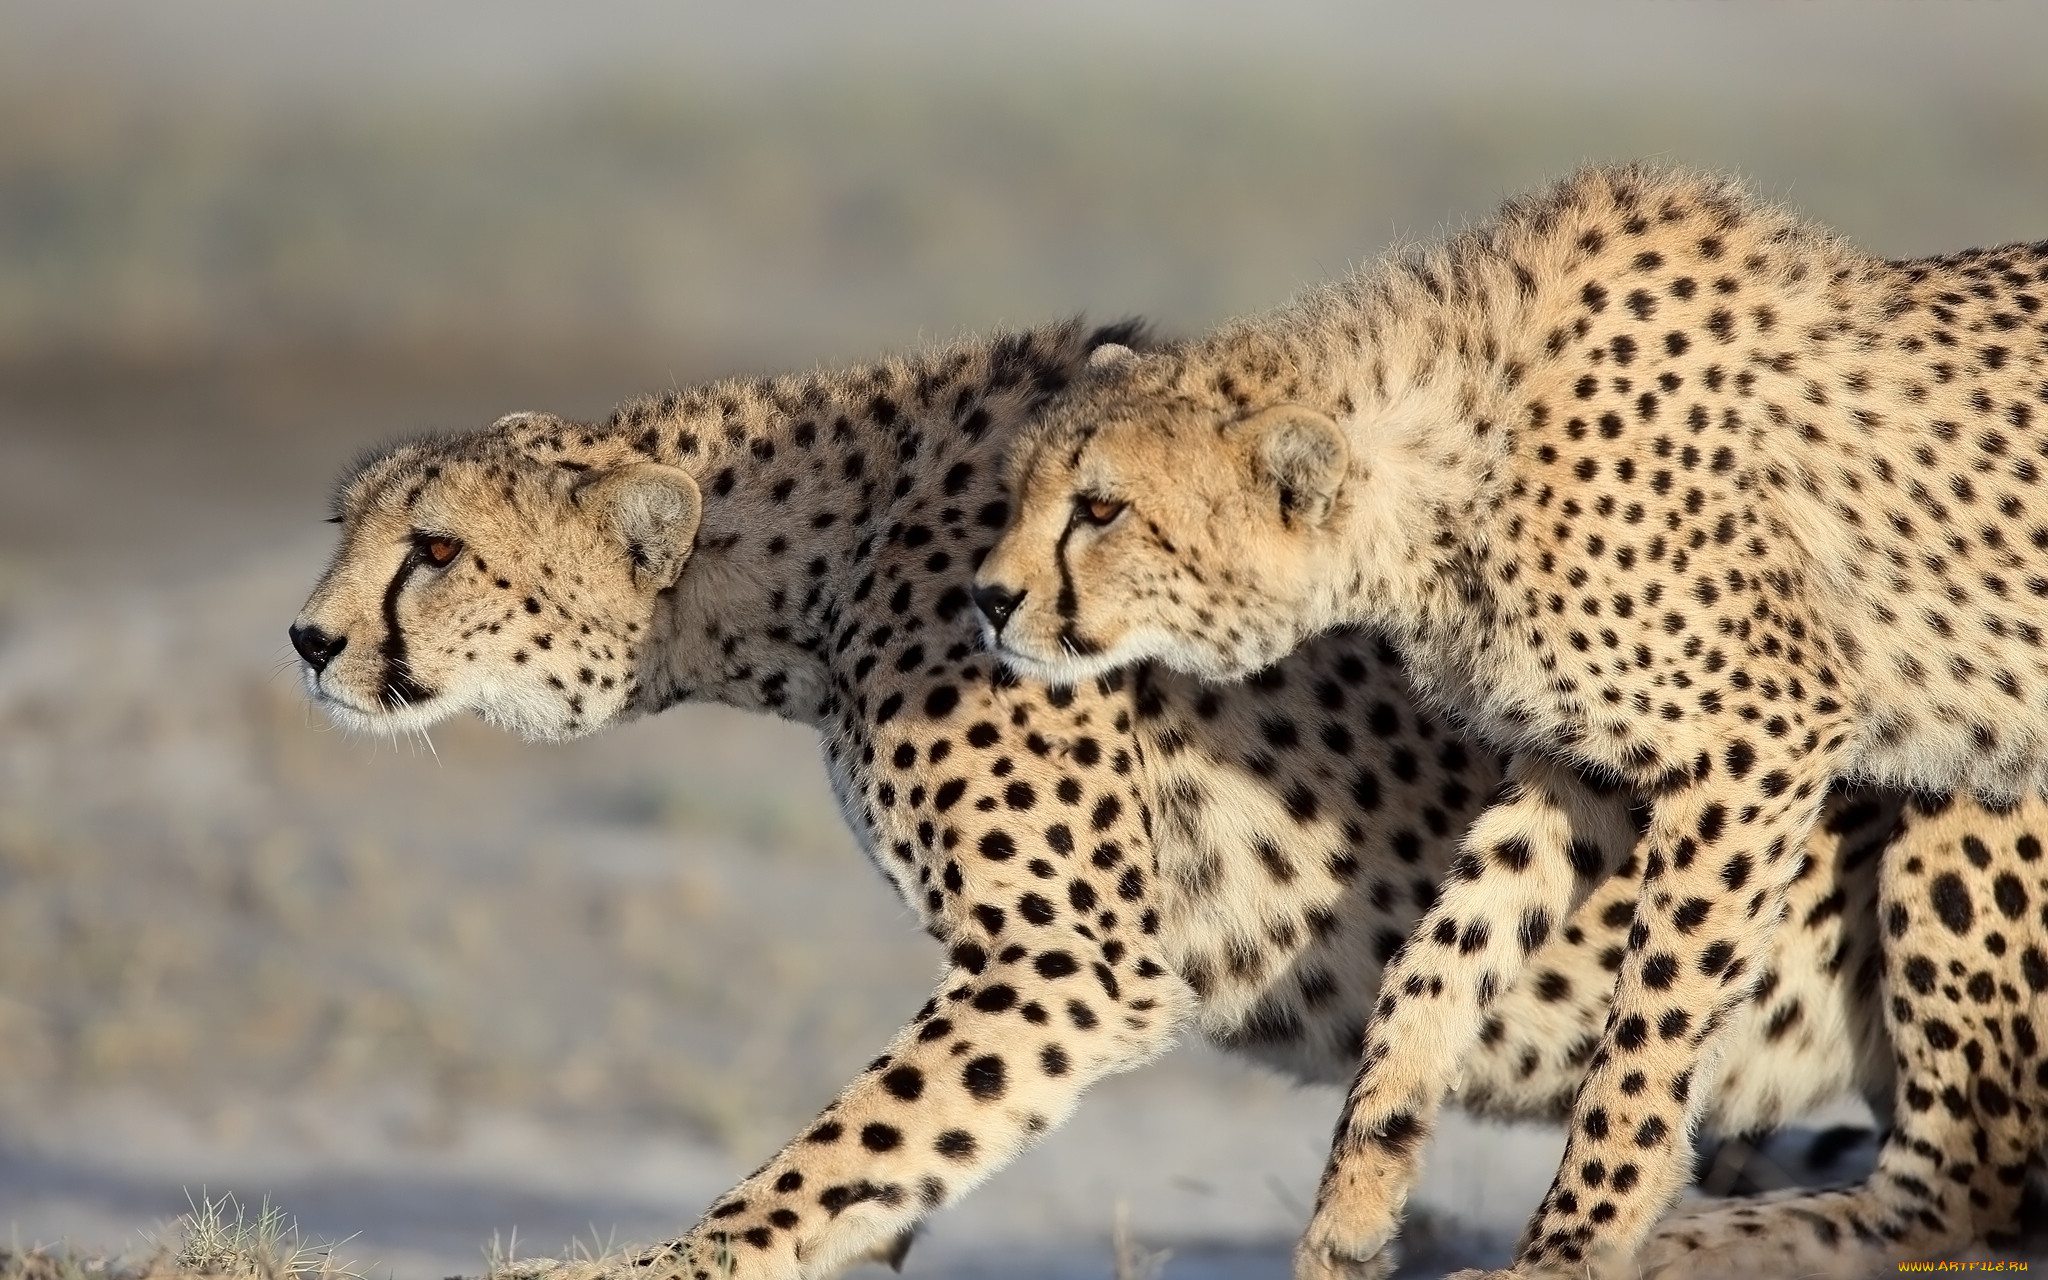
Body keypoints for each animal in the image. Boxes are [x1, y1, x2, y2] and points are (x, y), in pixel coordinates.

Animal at [288, 311, 2031, 1277]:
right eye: (350, 528)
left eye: (434, 549)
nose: (305, 640)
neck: (817, 551)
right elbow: (891, 1160)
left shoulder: (1067, 964)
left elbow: (841, 1147)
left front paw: (662, 1265)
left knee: (1969, 1181)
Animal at [974, 164, 2048, 1269]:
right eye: (1017, 492)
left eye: (1101, 509)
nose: (988, 598)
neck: (1453, 458)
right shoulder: (1582, 766)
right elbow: (1437, 956)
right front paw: (1357, 1196)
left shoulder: (1759, 744)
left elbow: (1649, 1022)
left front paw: (1572, 1241)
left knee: (1959, 1182)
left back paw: (1713, 1238)